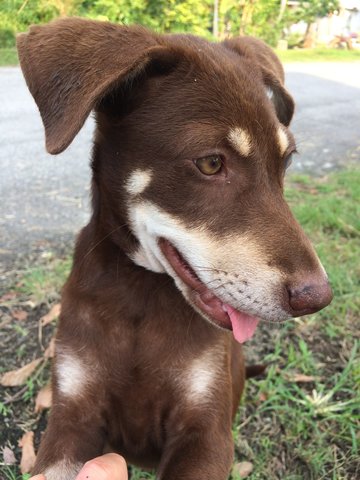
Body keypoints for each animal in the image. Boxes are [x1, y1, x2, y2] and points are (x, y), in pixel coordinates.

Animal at [16, 18, 332, 480]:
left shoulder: (206, 431)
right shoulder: (72, 415)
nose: (317, 298)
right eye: (211, 163)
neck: (143, 294)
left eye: (286, 161)